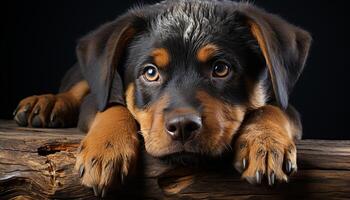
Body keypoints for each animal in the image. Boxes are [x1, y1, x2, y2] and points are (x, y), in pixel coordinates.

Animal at [13, 0, 312, 197]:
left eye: (221, 69)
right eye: (150, 72)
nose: (182, 127)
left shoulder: (284, 99)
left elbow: (273, 109)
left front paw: (265, 145)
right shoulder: (98, 99)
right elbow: (112, 107)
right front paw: (106, 149)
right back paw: (45, 103)